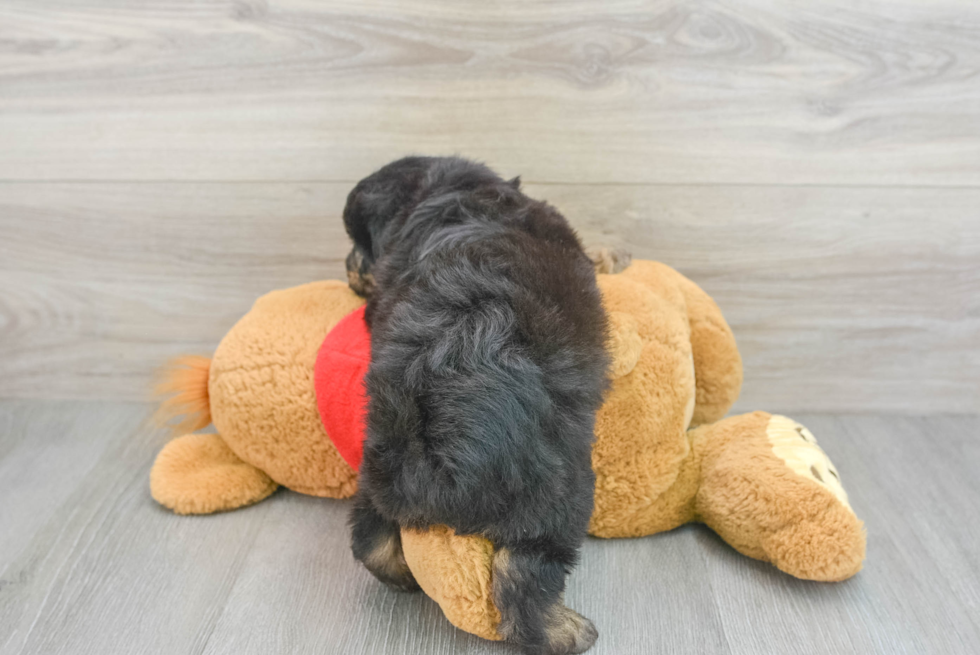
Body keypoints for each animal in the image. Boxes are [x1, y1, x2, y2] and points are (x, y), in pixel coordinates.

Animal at [342, 156, 604, 652]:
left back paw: (400, 575)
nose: (347, 264)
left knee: (370, 538)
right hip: (559, 490)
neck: (453, 192)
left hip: (378, 471)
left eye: (359, 243)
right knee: (523, 573)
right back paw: (564, 631)